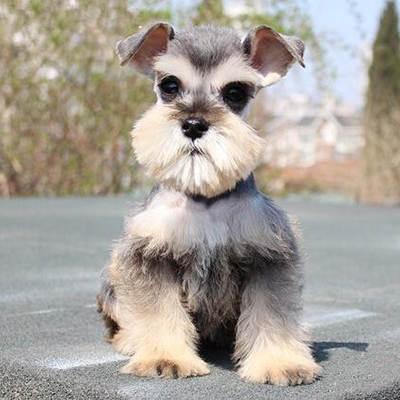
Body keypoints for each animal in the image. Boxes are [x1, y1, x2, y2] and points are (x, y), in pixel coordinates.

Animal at [97, 23, 322, 385]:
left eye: (235, 92)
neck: (205, 199)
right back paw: (131, 339)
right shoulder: (149, 257)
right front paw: (164, 357)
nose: (193, 124)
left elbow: (272, 314)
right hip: (113, 274)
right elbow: (159, 310)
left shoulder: (269, 257)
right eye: (169, 85)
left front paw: (280, 362)